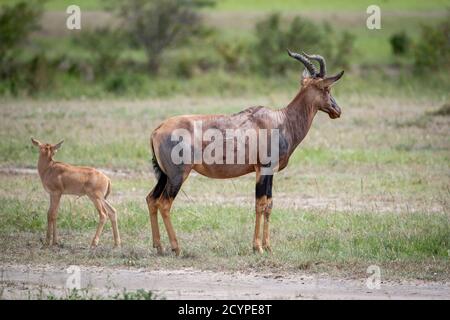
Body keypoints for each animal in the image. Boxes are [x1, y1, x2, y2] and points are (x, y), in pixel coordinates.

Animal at [146, 50, 342, 255]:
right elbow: (260, 204)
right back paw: (177, 248)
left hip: (164, 175)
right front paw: (258, 247)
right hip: (178, 174)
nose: (337, 111)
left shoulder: (269, 171)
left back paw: (159, 246)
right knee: (164, 204)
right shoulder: (263, 169)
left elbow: (269, 204)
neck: (280, 121)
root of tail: (157, 130)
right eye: (326, 89)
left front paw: (268, 246)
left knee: (151, 199)